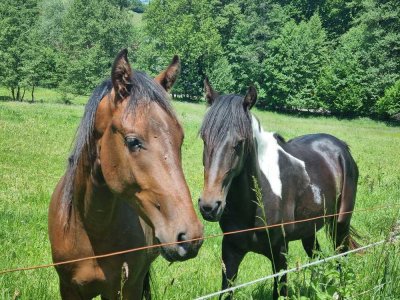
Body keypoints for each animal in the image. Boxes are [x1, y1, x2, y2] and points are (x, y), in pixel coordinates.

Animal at [49, 49, 203, 300]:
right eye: (132, 142)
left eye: (180, 139)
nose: (190, 237)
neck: (90, 228)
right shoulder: (69, 289)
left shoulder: (125, 288)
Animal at [199, 78, 360, 298]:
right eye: (204, 138)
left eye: (240, 142)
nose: (209, 206)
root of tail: (341, 147)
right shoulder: (230, 252)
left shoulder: (280, 253)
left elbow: (280, 292)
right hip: (309, 230)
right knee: (318, 259)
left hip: (340, 225)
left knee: (341, 257)